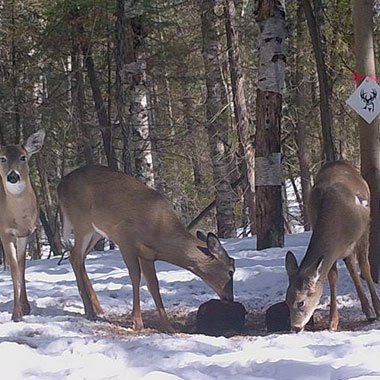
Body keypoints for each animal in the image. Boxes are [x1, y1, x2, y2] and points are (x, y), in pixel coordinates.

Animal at [57, 165, 235, 332]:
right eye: (231, 271)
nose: (230, 298)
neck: (159, 228)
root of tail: (60, 185)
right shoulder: (125, 240)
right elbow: (135, 277)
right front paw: (137, 323)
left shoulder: (147, 255)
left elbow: (153, 285)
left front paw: (168, 327)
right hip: (82, 222)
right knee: (75, 256)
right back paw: (91, 311)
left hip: (96, 232)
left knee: (78, 258)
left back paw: (97, 308)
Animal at [284, 161, 380, 332]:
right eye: (287, 300)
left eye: (300, 302)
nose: (295, 327)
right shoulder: (332, 249)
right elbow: (332, 275)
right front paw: (333, 322)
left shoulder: (364, 231)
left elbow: (365, 267)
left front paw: (379, 309)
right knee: (350, 266)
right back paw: (367, 311)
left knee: (357, 267)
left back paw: (371, 311)